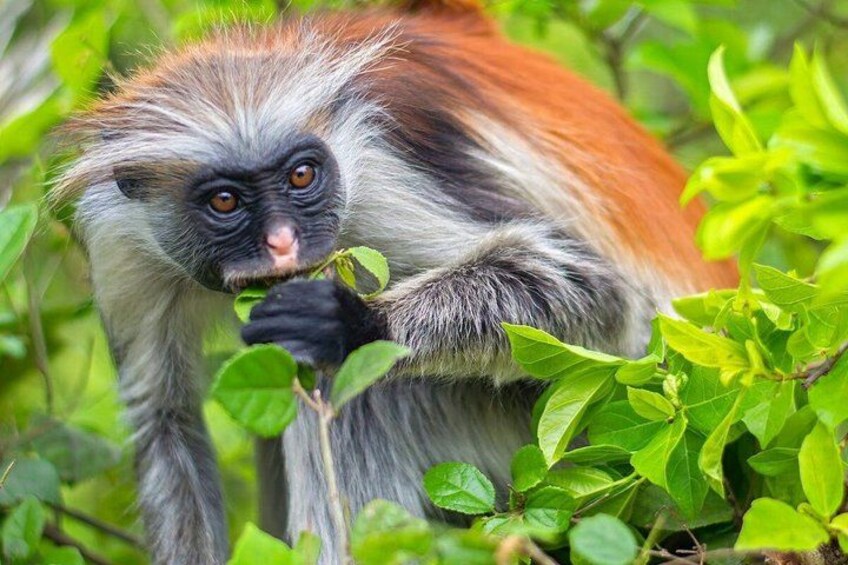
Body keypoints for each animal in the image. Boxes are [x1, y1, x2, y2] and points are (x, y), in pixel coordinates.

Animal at [54, 1, 738, 563]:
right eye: (224, 201)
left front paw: (352, 321)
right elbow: (166, 422)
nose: (283, 243)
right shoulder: (122, 240)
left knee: (359, 394)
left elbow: (598, 291)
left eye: (302, 176)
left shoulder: (377, 173)